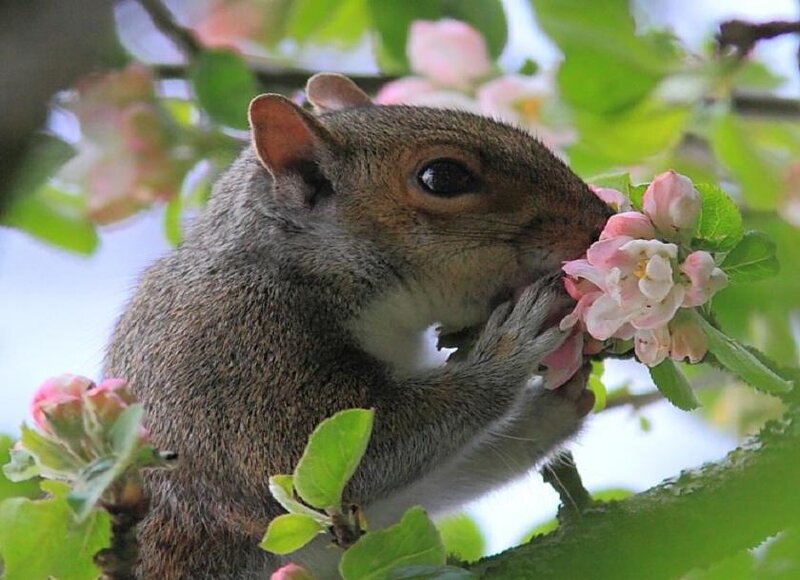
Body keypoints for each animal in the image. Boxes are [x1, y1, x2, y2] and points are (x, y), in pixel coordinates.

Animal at [104, 73, 611, 578]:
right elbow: (306, 453)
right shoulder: (231, 356)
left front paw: (550, 412)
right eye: (444, 177)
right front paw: (509, 346)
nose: (602, 223)